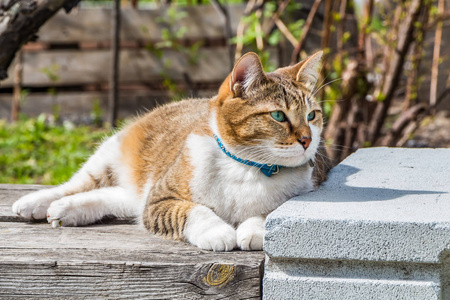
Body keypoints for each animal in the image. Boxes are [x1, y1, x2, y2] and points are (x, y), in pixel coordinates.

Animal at [13, 51, 330, 251]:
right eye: (278, 116)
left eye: (312, 116)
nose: (307, 139)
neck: (248, 168)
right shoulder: (160, 200)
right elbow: (193, 210)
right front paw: (218, 232)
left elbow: (271, 212)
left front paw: (253, 229)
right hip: (112, 153)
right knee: (78, 183)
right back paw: (36, 203)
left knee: (114, 196)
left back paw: (67, 210)